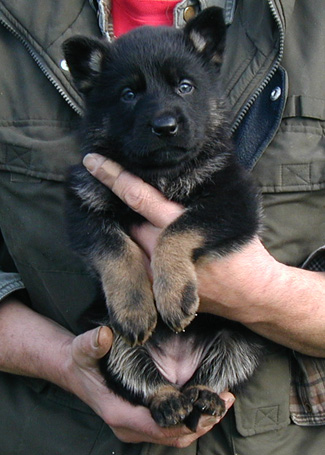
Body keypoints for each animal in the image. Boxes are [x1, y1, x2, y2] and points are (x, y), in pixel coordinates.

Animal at [64, 8, 264, 432]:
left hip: (243, 335)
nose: (165, 127)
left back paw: (204, 395)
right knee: (141, 379)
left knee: (216, 372)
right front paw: (135, 306)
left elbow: (178, 228)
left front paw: (173, 294)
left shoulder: (233, 201)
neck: (159, 173)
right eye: (128, 94)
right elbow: (116, 248)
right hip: (106, 337)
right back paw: (168, 400)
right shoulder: (84, 207)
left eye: (185, 86)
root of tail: (178, 370)